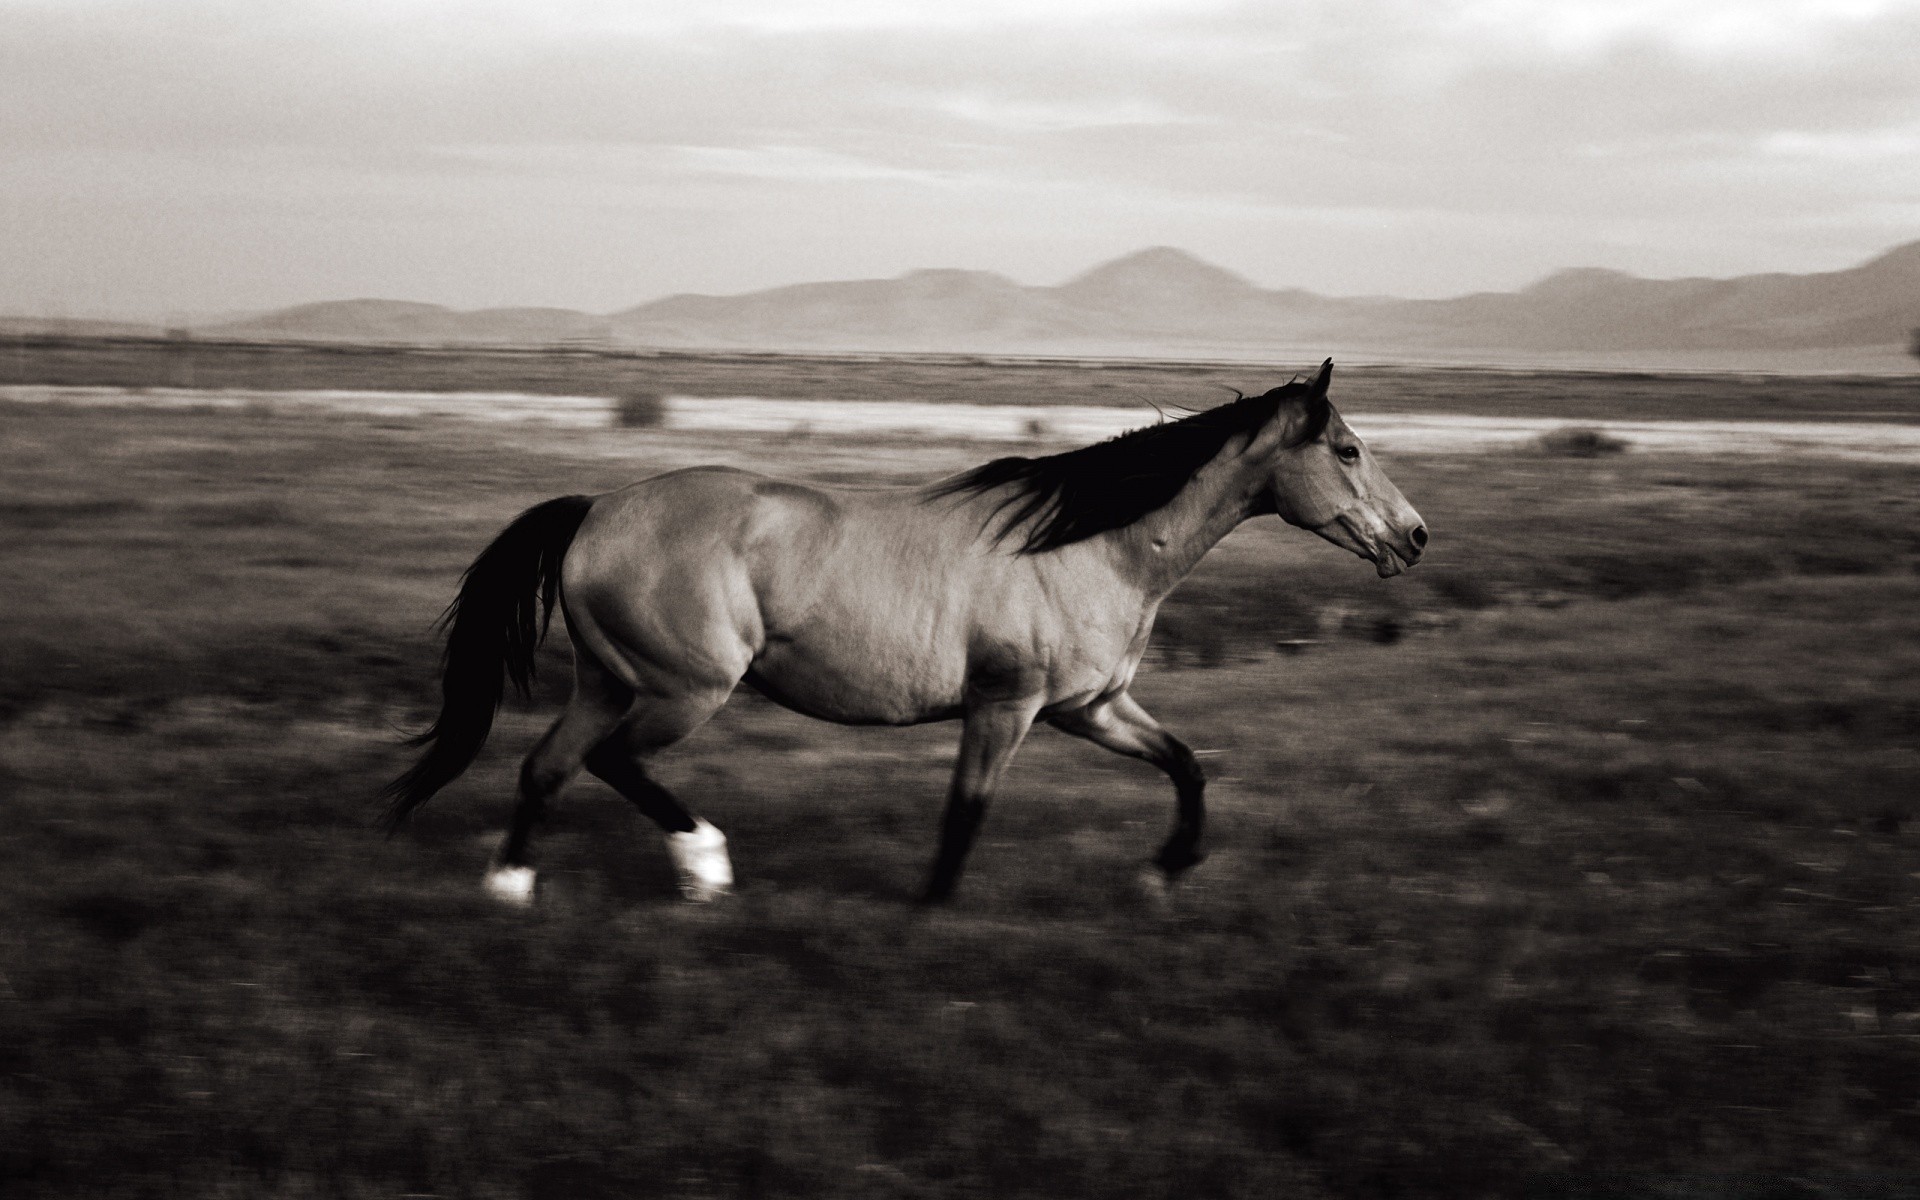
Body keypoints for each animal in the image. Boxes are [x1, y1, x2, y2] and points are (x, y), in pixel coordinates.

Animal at [382, 360, 1428, 902]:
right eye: (1347, 450)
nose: (1415, 536)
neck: (1091, 547)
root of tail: (596, 510)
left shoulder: (1092, 707)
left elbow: (1185, 764)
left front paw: (1167, 870)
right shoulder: (1007, 707)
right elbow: (967, 808)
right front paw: (932, 905)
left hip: (607, 680)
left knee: (548, 768)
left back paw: (512, 885)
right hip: (686, 688)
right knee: (612, 763)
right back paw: (706, 867)